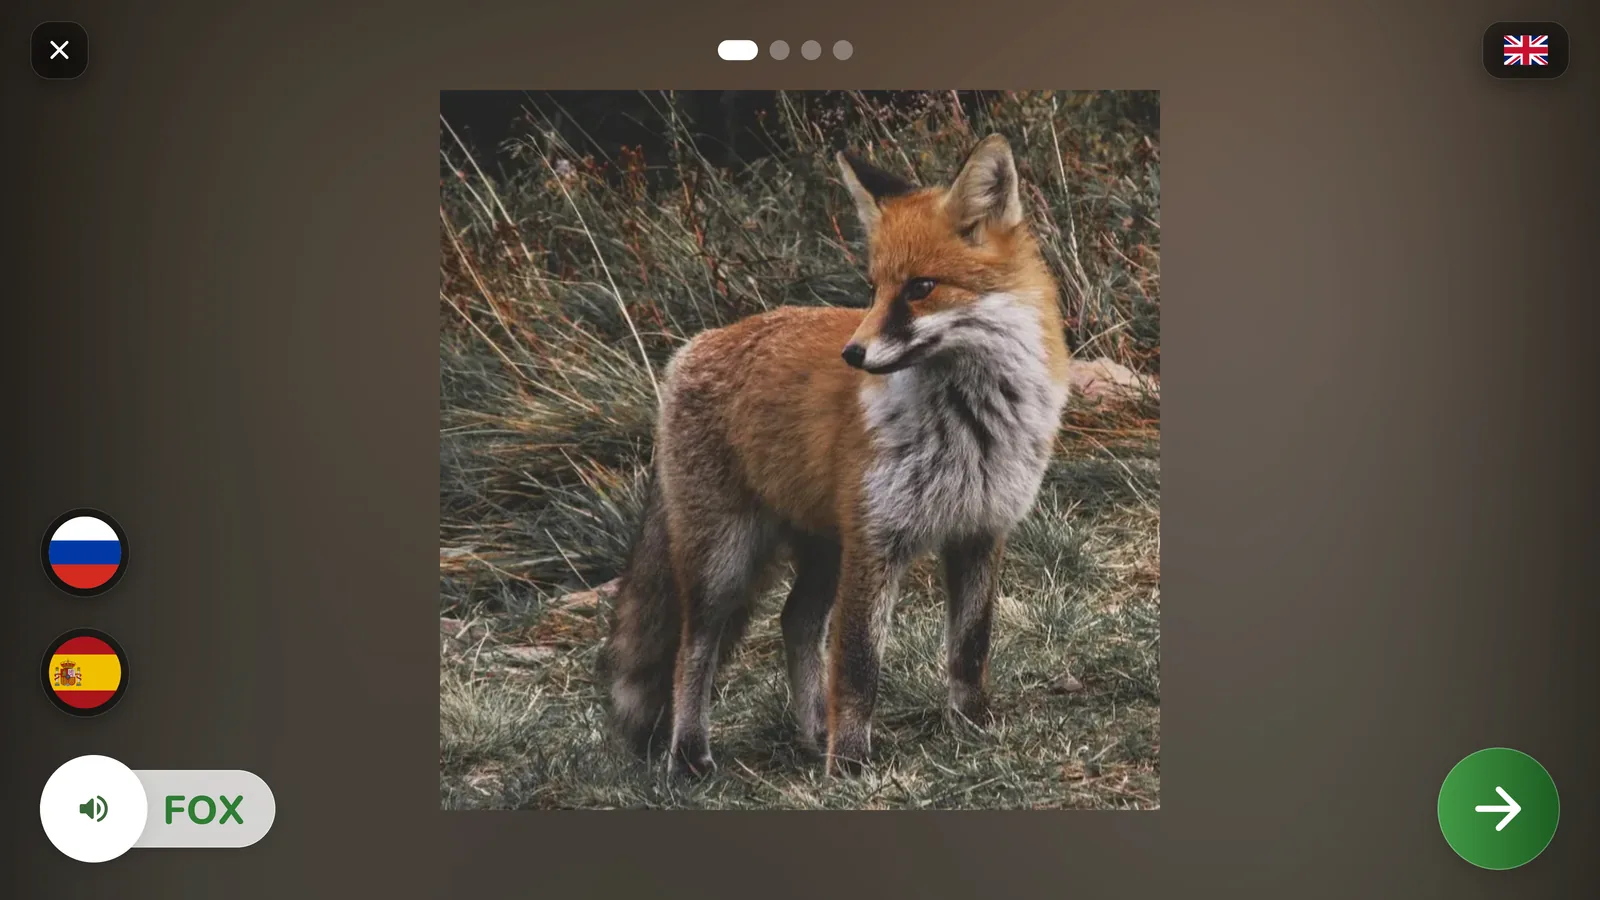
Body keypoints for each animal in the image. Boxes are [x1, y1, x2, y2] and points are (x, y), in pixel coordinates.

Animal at [597, 134, 1072, 777]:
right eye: (873, 288)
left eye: (920, 288)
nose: (853, 353)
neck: (969, 425)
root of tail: (692, 347)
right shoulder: (876, 542)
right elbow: (857, 665)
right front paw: (848, 765)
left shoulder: (980, 530)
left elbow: (970, 648)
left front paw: (972, 727)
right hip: (724, 560)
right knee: (693, 649)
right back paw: (691, 754)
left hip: (823, 548)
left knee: (795, 621)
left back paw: (810, 732)